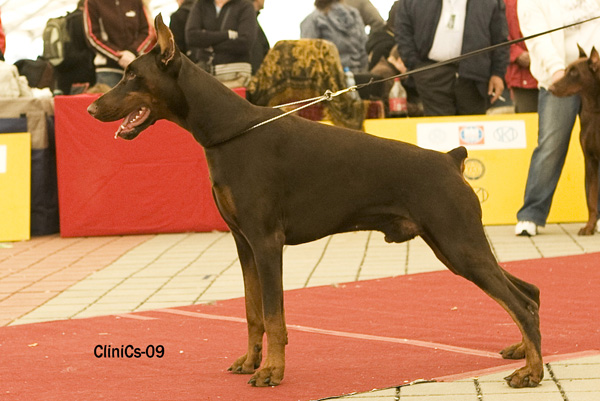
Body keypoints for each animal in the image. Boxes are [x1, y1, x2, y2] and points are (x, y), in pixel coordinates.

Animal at [87, 15, 543, 388]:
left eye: (132, 76)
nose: (91, 108)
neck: (229, 131)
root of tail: (450, 158)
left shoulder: (266, 242)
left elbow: (274, 314)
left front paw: (271, 372)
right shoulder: (243, 243)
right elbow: (252, 311)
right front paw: (250, 361)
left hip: (458, 242)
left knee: (520, 302)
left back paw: (532, 372)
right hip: (453, 246)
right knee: (530, 292)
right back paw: (523, 352)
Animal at [549, 45, 600, 235]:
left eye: (574, 72)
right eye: (565, 71)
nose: (550, 87)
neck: (596, 109)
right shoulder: (590, 160)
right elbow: (591, 199)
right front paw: (589, 226)